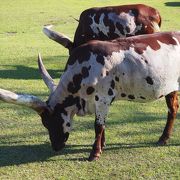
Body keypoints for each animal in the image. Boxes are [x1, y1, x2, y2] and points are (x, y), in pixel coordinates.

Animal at [0, 31, 179, 161]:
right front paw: (102, 145)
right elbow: (102, 125)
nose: (56, 147)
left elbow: (98, 126)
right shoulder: (97, 102)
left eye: (50, 122)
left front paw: (95, 153)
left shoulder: (103, 98)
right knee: (172, 109)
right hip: (171, 88)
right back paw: (164, 138)